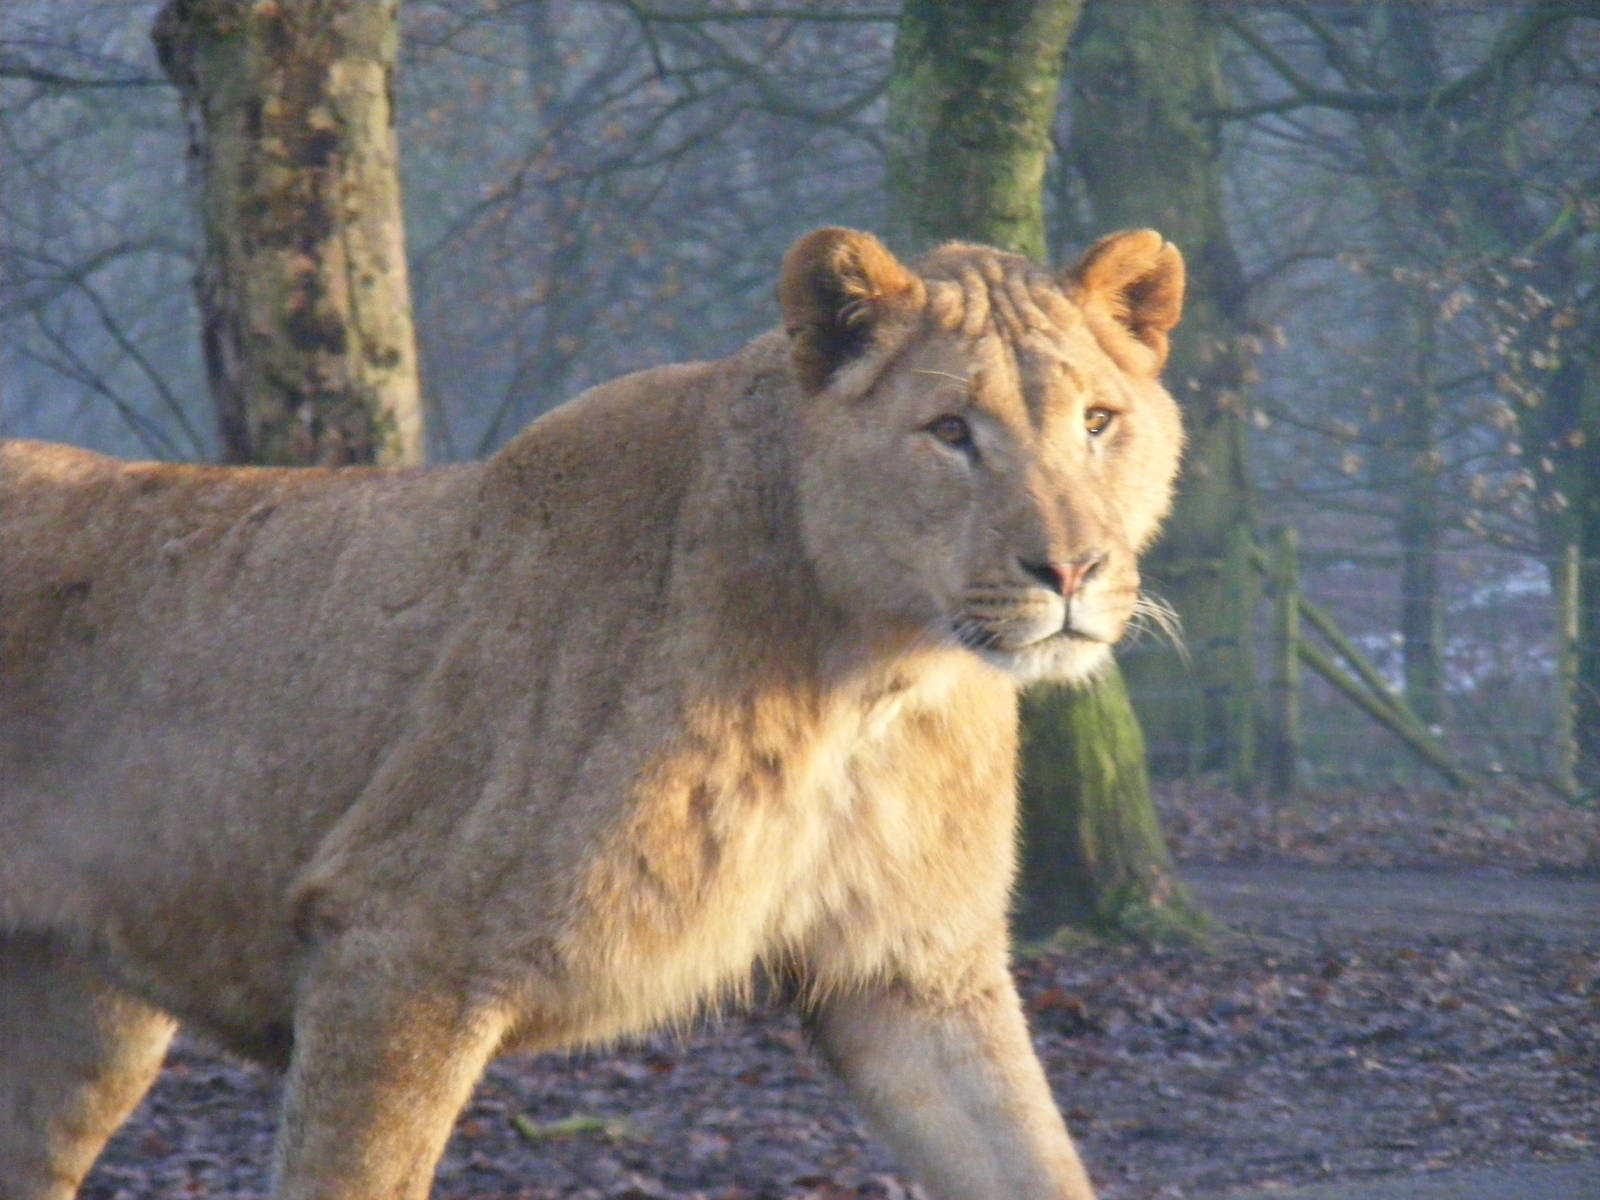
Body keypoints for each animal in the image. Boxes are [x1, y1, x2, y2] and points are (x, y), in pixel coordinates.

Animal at [0, 226, 1184, 1200]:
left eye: (1098, 422)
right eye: (949, 431)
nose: (1071, 569)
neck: (873, 679)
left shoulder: (913, 976)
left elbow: (1033, 1161)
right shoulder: (393, 953)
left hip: (84, 1030)